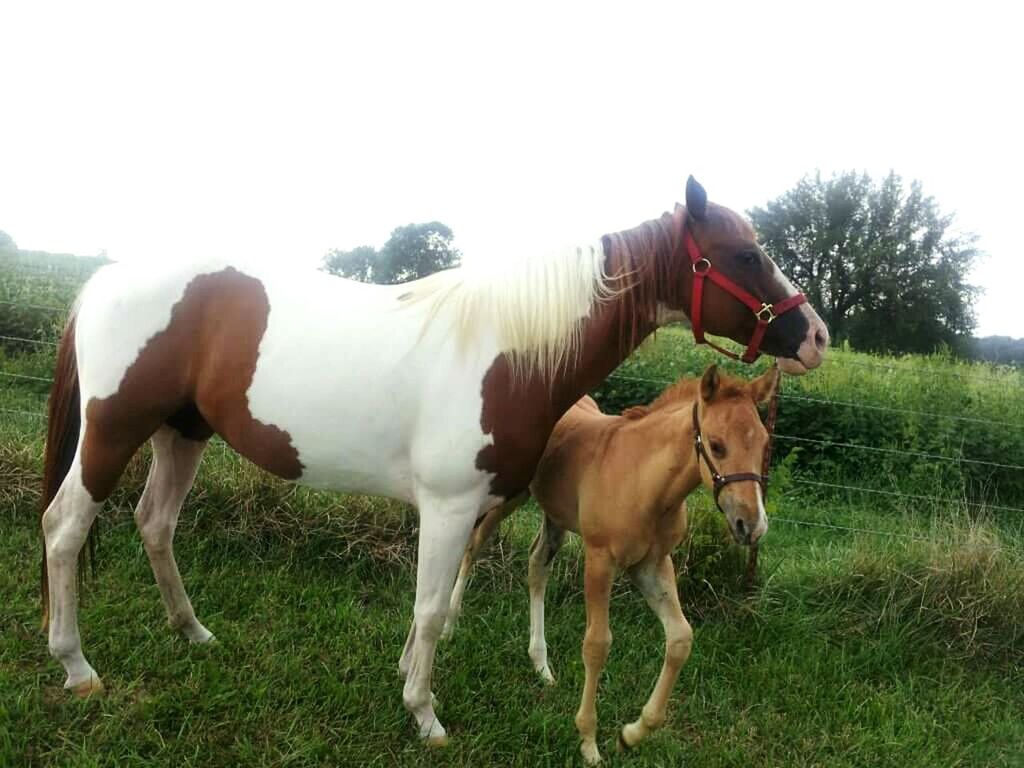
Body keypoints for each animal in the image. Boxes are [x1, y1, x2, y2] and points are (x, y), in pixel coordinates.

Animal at [444, 366, 778, 765]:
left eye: (764, 444)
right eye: (716, 445)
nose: (752, 525)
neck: (645, 482)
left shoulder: (652, 564)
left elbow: (680, 638)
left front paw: (632, 734)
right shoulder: (600, 560)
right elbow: (597, 644)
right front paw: (589, 742)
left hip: (556, 515)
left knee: (537, 564)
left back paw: (541, 665)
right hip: (510, 495)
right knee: (474, 545)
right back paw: (448, 627)